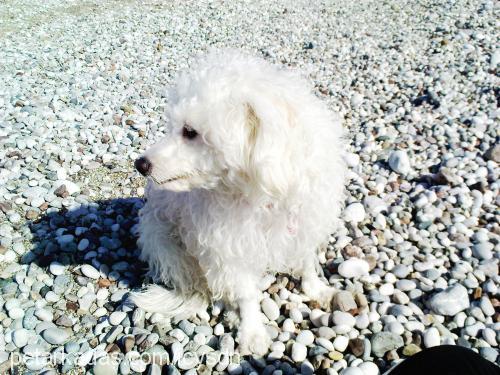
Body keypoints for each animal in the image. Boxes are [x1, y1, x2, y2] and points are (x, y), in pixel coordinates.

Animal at [131, 50, 346, 356]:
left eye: (190, 132)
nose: (141, 164)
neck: (262, 195)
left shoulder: (304, 225)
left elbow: (305, 262)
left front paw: (315, 289)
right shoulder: (228, 248)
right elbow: (245, 294)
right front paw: (252, 331)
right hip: (167, 244)